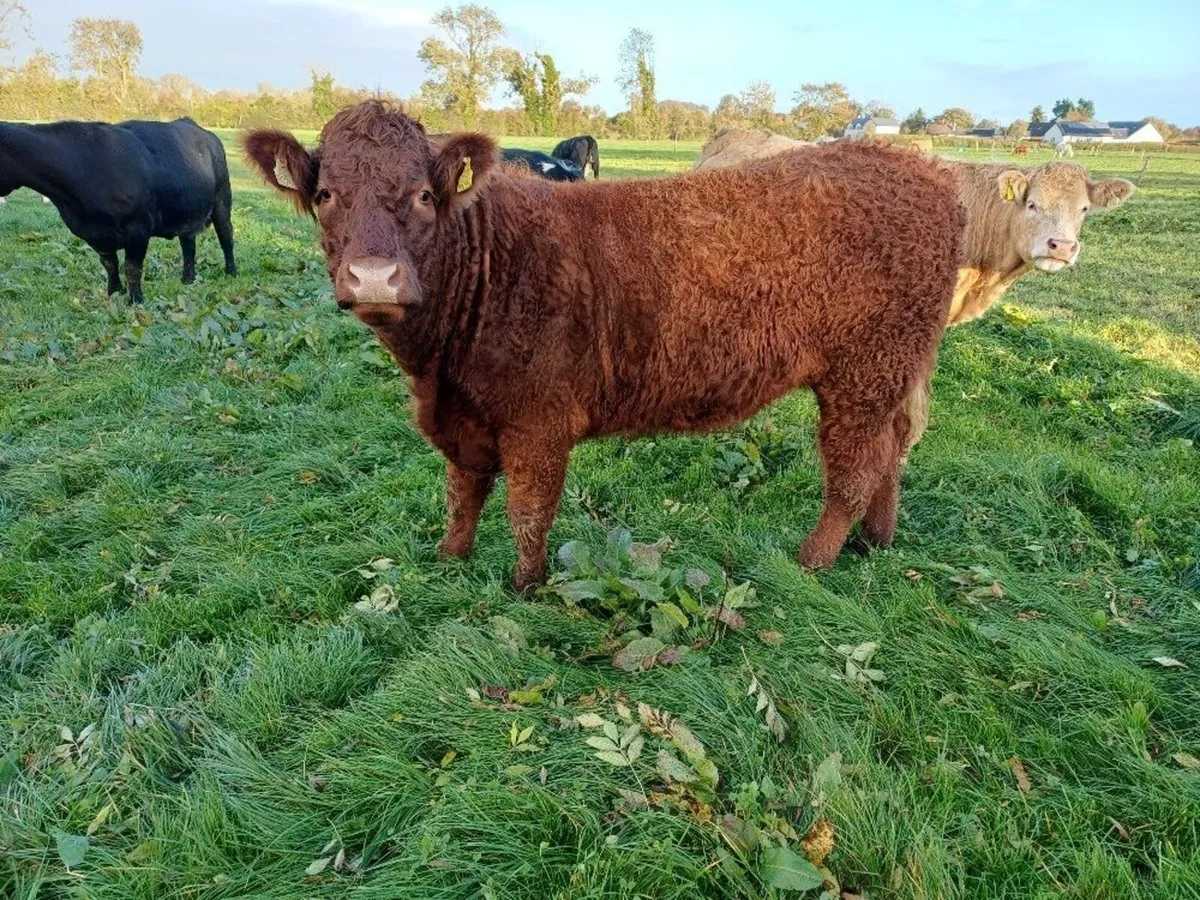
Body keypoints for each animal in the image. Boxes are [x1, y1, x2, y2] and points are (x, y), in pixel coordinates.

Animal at [0, 118, 236, 303]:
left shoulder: (138, 227)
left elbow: (132, 268)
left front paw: (136, 300)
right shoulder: (95, 235)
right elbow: (110, 265)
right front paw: (113, 293)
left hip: (222, 199)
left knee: (226, 237)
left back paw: (231, 272)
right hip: (187, 211)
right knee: (188, 245)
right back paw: (188, 280)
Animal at [243, 101, 963, 592]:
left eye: (424, 195)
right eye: (326, 194)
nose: (373, 279)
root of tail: (918, 167)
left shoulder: (537, 421)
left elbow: (528, 510)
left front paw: (525, 586)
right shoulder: (463, 416)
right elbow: (462, 492)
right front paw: (450, 558)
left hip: (862, 373)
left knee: (854, 469)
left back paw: (813, 559)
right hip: (888, 373)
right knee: (892, 451)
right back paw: (877, 541)